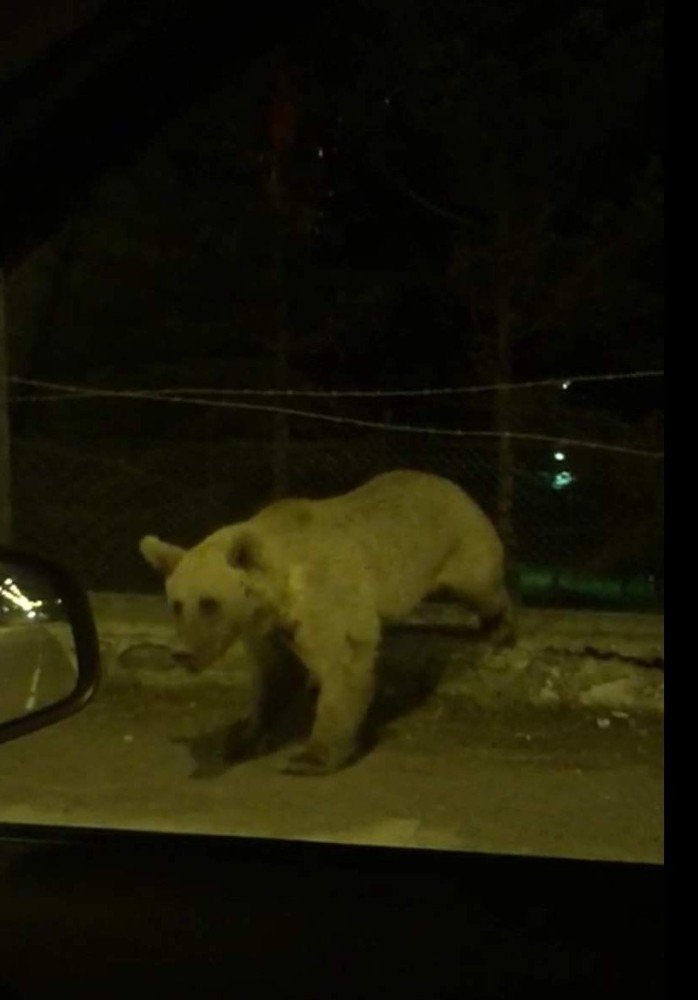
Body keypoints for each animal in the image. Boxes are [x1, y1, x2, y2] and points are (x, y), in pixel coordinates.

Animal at [140, 468, 512, 772]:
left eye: (209, 602)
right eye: (177, 604)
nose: (183, 652)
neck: (278, 594)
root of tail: (449, 483)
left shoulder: (326, 597)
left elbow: (343, 664)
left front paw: (312, 755)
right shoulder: (269, 630)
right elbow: (273, 677)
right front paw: (242, 737)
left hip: (458, 546)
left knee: (482, 586)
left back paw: (499, 630)